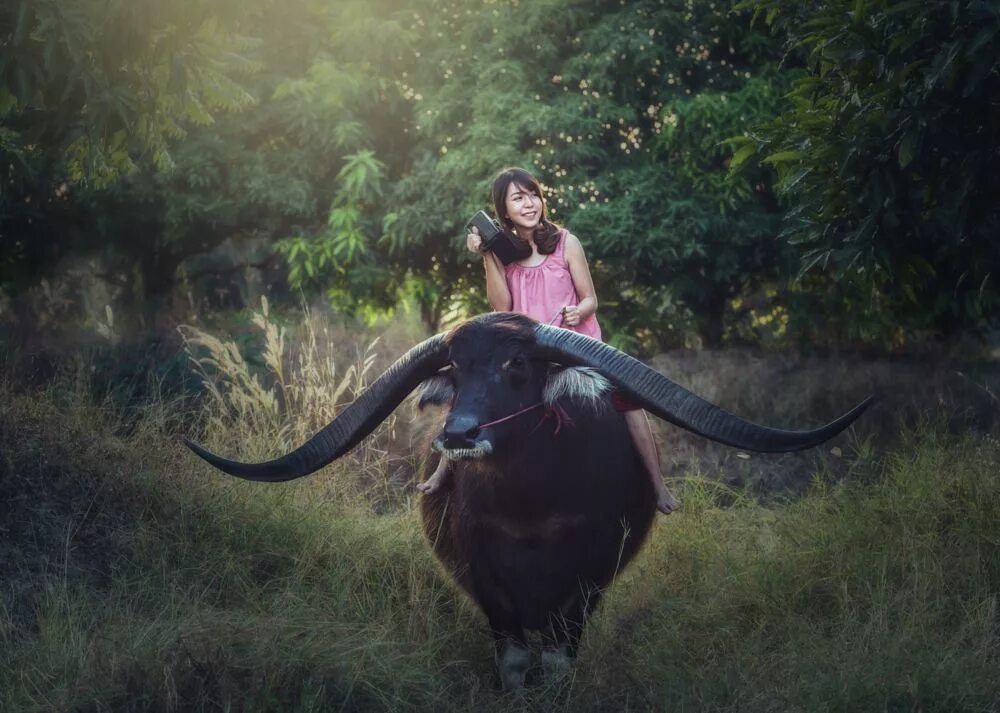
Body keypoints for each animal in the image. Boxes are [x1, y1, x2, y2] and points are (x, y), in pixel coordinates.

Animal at [184, 310, 872, 684]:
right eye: (456, 369)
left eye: (516, 365)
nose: (458, 434)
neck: (531, 509)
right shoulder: (485, 580)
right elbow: (515, 660)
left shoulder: (589, 580)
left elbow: (560, 661)